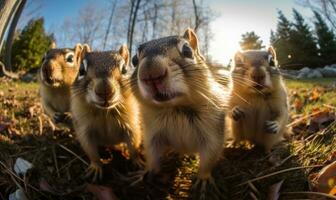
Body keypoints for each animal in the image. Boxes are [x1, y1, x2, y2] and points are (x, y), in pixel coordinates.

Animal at [71, 44, 142, 180]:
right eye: (81, 70)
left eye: (125, 69)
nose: (104, 90)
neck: (105, 112)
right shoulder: (84, 129)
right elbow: (91, 150)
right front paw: (96, 167)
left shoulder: (132, 125)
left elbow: (134, 145)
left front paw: (138, 161)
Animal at [130, 28, 227, 198]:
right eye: (134, 60)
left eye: (187, 50)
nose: (151, 73)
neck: (175, 108)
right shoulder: (152, 134)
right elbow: (153, 156)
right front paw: (145, 173)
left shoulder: (213, 132)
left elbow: (210, 155)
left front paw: (203, 180)